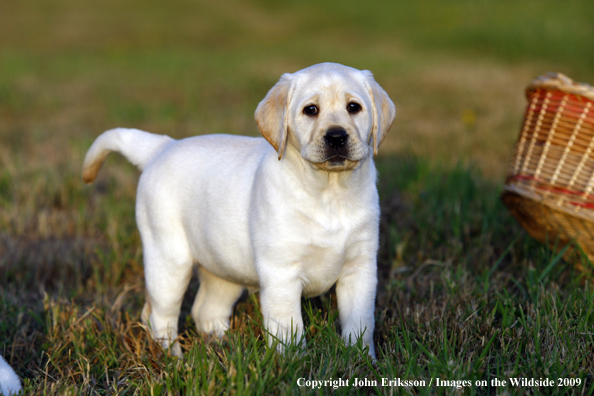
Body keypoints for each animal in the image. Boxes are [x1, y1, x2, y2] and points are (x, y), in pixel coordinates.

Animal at [80, 62, 394, 358]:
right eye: (311, 110)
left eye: (354, 107)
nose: (337, 137)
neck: (330, 193)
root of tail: (162, 147)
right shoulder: (281, 273)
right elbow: (289, 328)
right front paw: (292, 363)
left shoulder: (361, 267)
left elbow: (360, 324)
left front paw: (362, 361)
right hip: (168, 259)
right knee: (160, 316)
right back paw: (173, 358)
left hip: (222, 265)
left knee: (204, 309)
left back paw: (222, 346)